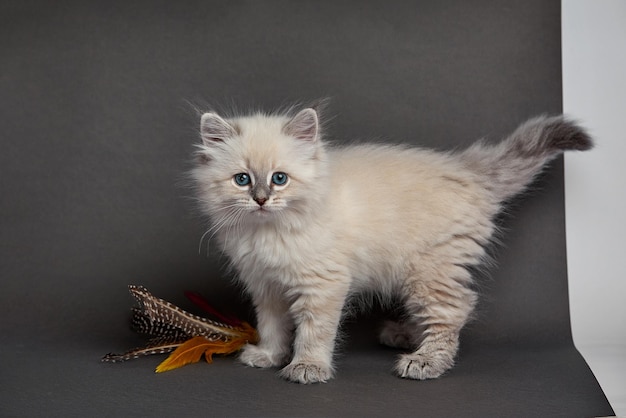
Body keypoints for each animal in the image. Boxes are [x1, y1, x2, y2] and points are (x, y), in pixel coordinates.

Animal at [191, 107, 588, 382]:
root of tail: (466, 170)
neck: (267, 232)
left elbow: (314, 332)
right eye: (242, 180)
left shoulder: (323, 285)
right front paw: (269, 356)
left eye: (279, 179)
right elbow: (273, 326)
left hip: (429, 271)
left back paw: (425, 360)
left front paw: (307, 367)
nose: (260, 199)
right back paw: (405, 335)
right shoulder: (265, 286)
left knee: (456, 310)